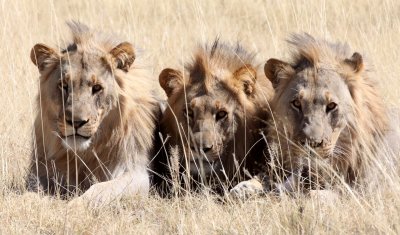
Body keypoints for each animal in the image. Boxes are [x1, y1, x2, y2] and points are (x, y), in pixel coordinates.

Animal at [25, 22, 161, 205]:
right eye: (64, 85)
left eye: (97, 88)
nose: (75, 122)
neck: (84, 153)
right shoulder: (42, 171)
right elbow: (30, 191)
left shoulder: (136, 173)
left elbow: (101, 189)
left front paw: (74, 205)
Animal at [231, 33, 390, 196]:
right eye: (296, 103)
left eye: (332, 105)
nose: (311, 143)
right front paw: (243, 188)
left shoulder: (368, 189)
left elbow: (322, 194)